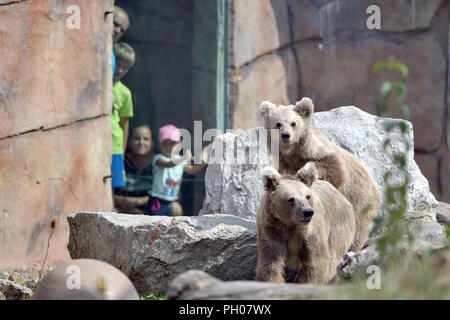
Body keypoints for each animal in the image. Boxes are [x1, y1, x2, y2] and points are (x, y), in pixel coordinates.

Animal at [260, 98, 380, 252]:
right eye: (278, 123)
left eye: (293, 123)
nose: (286, 135)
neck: (293, 154)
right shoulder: (284, 163)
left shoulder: (319, 153)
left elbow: (334, 170)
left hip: (359, 199)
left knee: (357, 228)